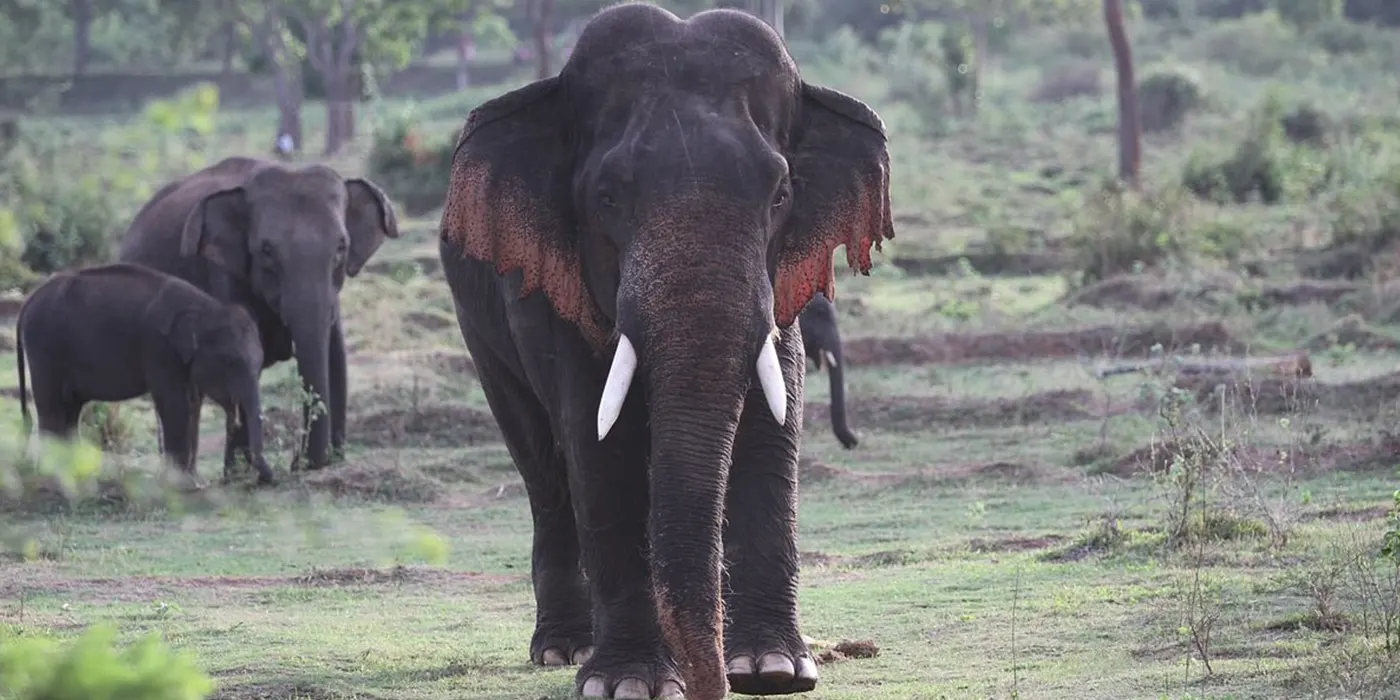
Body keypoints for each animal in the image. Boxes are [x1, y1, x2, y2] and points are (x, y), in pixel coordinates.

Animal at [15, 263, 273, 487]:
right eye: (229, 362)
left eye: (260, 362)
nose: (267, 478)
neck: (205, 309)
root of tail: (28, 301)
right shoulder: (158, 348)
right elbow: (175, 403)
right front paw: (183, 485)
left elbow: (192, 403)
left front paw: (194, 482)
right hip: (44, 348)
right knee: (52, 407)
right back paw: (54, 480)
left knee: (70, 408)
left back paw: (76, 476)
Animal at [115, 156, 403, 473]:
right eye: (266, 251)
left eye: (342, 247)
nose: (298, 461)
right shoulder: (225, 276)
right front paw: (241, 474)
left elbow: (335, 356)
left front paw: (331, 459)